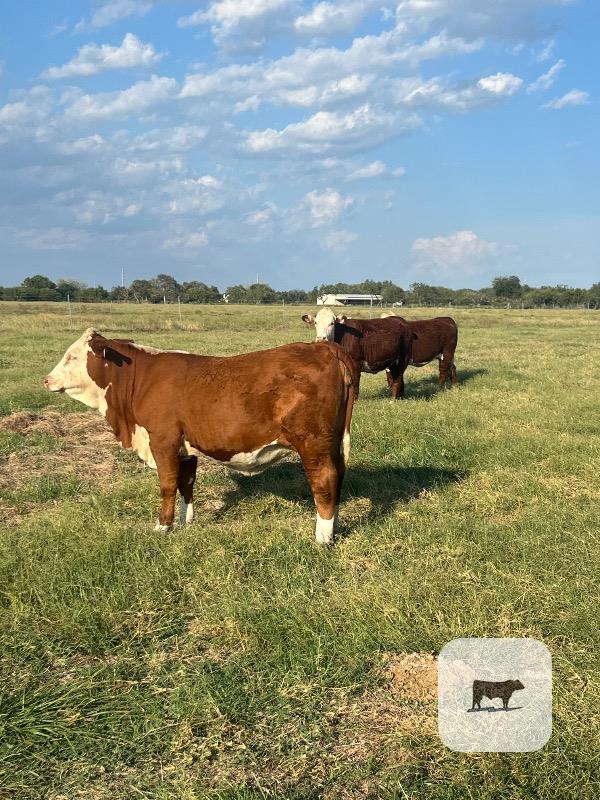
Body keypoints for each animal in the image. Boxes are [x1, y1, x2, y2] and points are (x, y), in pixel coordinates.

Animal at [43, 329, 358, 544]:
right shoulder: (185, 447)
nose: (46, 380)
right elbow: (187, 483)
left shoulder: (163, 440)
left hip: (313, 442)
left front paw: (163, 527)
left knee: (324, 480)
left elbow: (168, 485)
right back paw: (334, 526)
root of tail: (325, 348)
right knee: (339, 476)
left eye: (72, 356)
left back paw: (321, 538)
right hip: (333, 442)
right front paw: (186, 521)